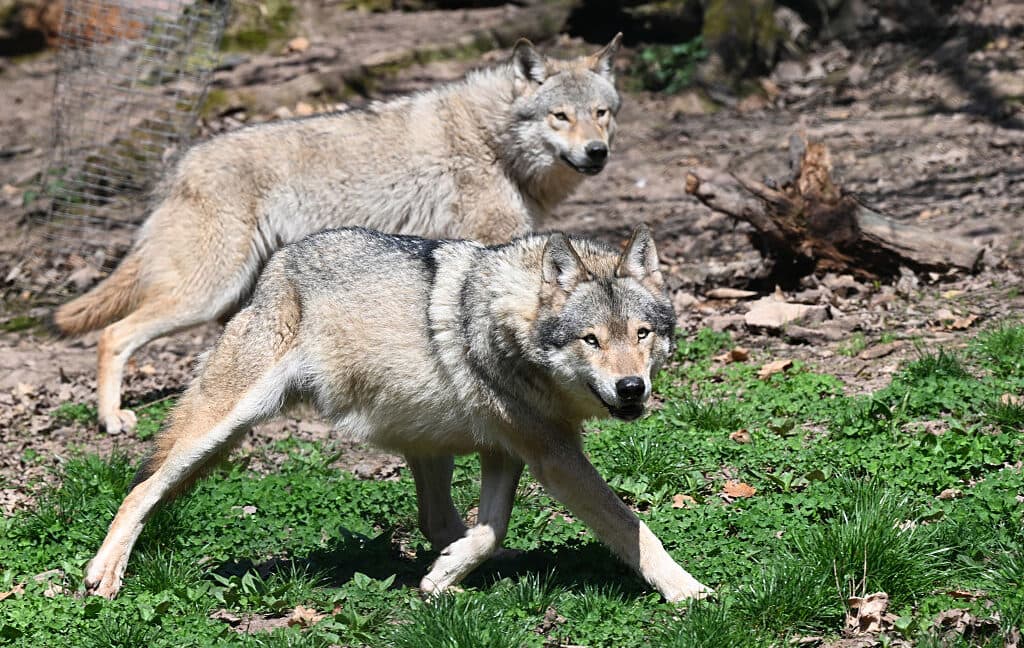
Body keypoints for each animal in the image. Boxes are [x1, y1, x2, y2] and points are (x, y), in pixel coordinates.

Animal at [52, 34, 624, 435]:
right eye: (559, 116)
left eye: (601, 114)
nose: (598, 153)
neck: (494, 139)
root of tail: (180, 167)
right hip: (205, 294)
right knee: (112, 335)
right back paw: (112, 419)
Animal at [83, 224, 711, 602]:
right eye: (591, 340)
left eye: (642, 333)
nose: (630, 388)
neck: (512, 322)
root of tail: (277, 264)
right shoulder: (553, 457)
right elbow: (632, 527)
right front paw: (689, 591)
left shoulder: (509, 451)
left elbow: (491, 529)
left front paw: (445, 576)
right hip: (220, 429)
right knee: (140, 488)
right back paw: (104, 574)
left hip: (424, 447)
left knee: (437, 521)